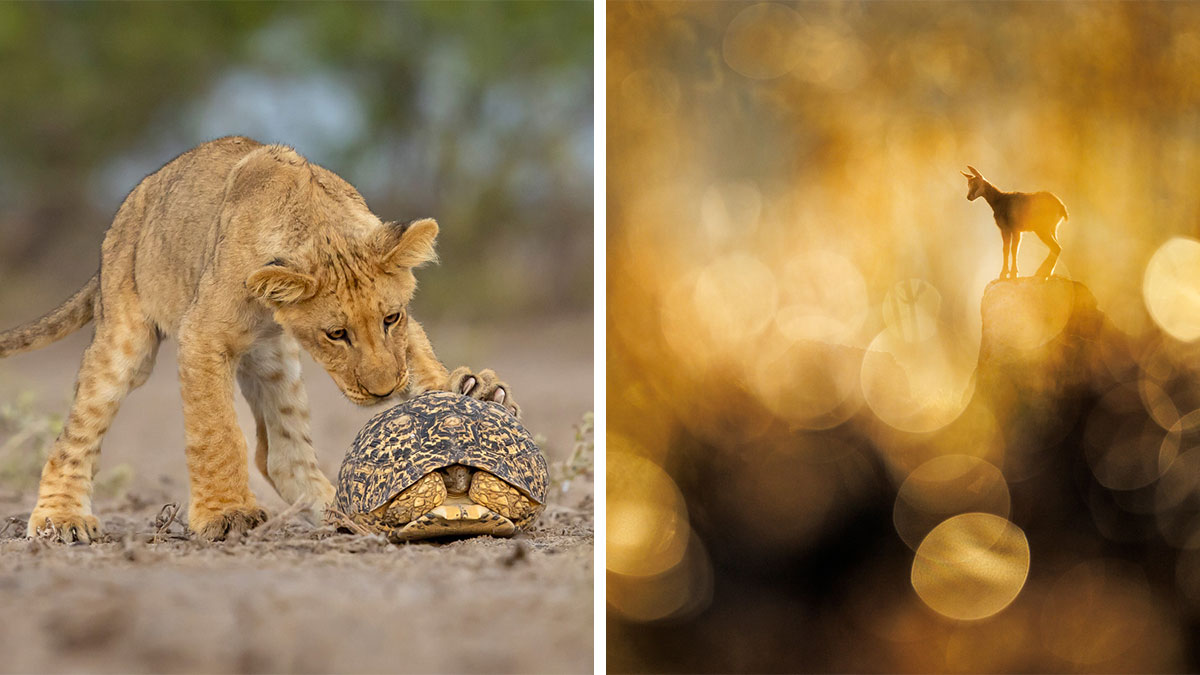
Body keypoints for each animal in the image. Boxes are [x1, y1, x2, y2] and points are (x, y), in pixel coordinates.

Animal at [0, 136, 518, 542]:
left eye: (391, 318)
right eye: (336, 334)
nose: (384, 392)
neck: (317, 223)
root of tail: (126, 212)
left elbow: (419, 357)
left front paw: (471, 390)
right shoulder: (202, 335)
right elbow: (217, 433)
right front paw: (227, 513)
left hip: (275, 359)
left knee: (282, 456)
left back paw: (346, 517)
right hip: (126, 339)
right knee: (74, 434)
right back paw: (61, 518)